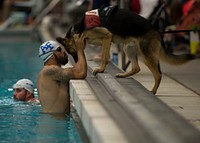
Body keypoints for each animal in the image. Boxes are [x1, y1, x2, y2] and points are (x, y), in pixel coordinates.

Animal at [55, 5, 195, 94]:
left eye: (71, 52)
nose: (76, 62)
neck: (79, 29)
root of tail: (156, 30)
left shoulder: (107, 36)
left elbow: (104, 56)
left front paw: (100, 69)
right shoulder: (107, 40)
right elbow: (105, 53)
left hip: (145, 55)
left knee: (158, 74)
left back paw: (153, 91)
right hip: (128, 48)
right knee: (136, 68)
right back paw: (123, 75)